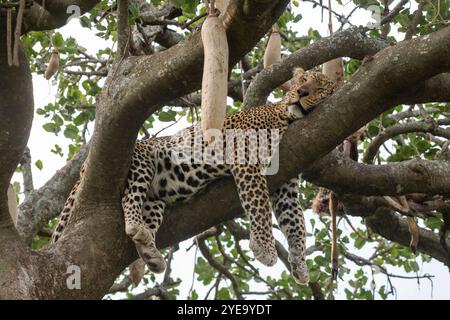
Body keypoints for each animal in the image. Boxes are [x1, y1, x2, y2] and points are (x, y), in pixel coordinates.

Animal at [51, 68, 336, 284]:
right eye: (302, 80)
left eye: (321, 88)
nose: (302, 92)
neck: (285, 117)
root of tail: (84, 169)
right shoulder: (246, 158)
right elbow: (259, 205)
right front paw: (265, 249)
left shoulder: (286, 185)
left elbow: (295, 223)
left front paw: (300, 265)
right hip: (142, 159)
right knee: (129, 198)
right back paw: (136, 227)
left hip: (155, 199)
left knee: (146, 216)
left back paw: (151, 252)